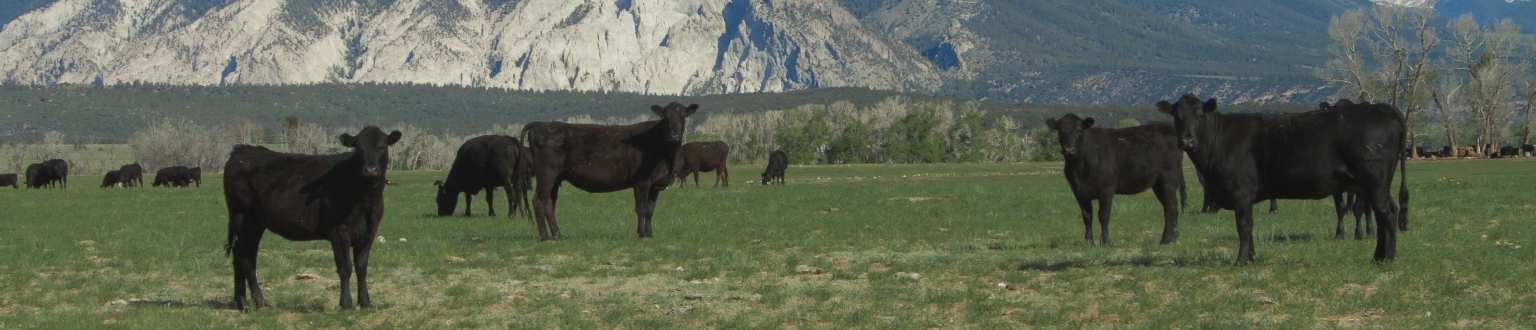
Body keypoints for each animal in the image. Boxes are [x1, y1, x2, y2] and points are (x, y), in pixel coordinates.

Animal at [222, 125, 405, 310]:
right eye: (359, 148)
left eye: (382, 147)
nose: (370, 170)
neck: (366, 200)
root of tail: (242, 150)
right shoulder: (339, 231)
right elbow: (345, 267)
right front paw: (346, 303)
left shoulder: (369, 232)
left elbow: (361, 267)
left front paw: (365, 303)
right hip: (244, 219)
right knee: (247, 258)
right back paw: (258, 301)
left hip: (253, 223)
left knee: (239, 254)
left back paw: (242, 302)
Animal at [522, 102, 703, 239]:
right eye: (665, 118)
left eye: (683, 117)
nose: (674, 136)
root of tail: (542, 124)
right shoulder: (641, 181)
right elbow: (641, 208)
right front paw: (642, 234)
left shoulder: (655, 184)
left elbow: (650, 211)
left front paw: (650, 234)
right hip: (546, 174)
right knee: (539, 201)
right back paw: (545, 236)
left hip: (555, 178)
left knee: (549, 204)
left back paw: (558, 235)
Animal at [1044, 113, 1185, 245]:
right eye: (1060, 131)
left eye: (1079, 131)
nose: (1068, 150)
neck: (1080, 168)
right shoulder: (1078, 192)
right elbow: (1087, 216)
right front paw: (1090, 242)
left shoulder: (1106, 189)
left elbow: (1103, 215)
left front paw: (1105, 241)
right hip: (1158, 183)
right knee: (1171, 206)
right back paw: (1174, 237)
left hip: (1168, 178)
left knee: (1170, 208)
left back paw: (1165, 239)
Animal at [1155, 94, 1406, 262]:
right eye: (1176, 117)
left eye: (1200, 116)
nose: (1187, 141)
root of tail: (1380, 108)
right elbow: (1250, 225)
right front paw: (1252, 257)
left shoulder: (1241, 191)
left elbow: (1243, 225)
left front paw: (1241, 259)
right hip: (1378, 184)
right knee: (1387, 212)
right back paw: (1382, 255)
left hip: (1374, 180)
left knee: (1386, 213)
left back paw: (1385, 257)